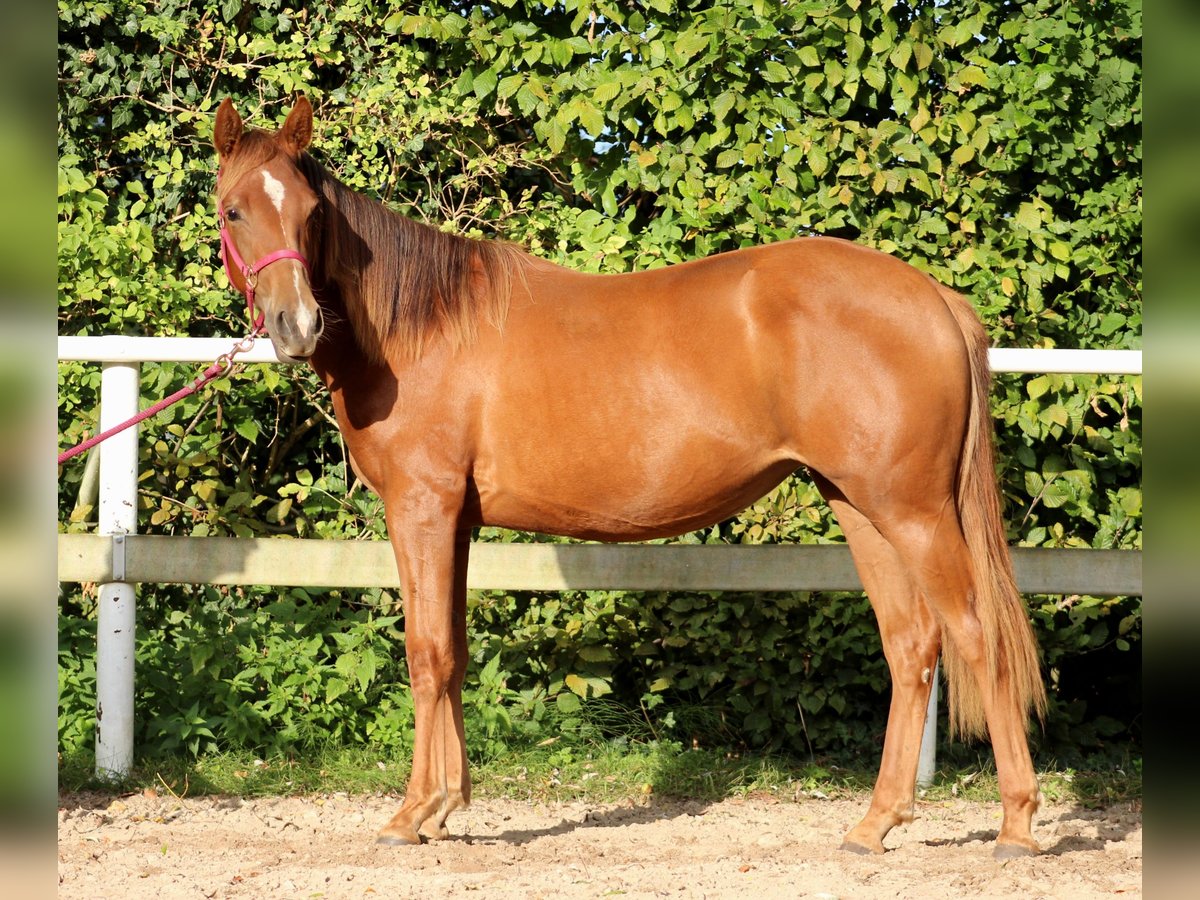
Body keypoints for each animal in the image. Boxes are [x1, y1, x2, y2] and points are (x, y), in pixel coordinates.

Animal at [211, 98, 1046, 859]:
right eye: (234, 210)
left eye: (310, 213)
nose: (298, 327)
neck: (419, 328)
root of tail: (935, 298)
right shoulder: (458, 523)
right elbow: (454, 653)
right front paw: (445, 806)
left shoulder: (422, 510)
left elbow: (426, 654)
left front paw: (411, 814)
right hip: (861, 507)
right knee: (911, 644)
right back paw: (875, 825)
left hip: (915, 513)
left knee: (977, 633)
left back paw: (1016, 824)